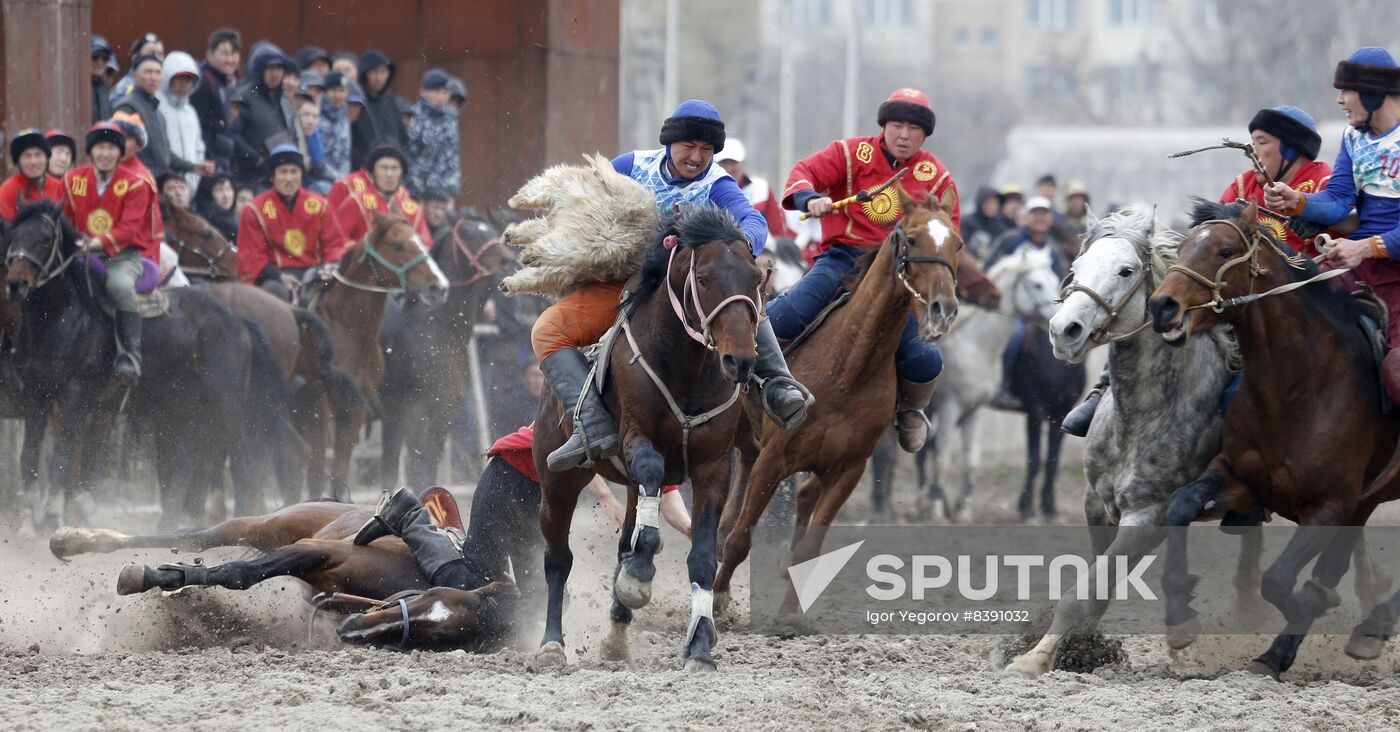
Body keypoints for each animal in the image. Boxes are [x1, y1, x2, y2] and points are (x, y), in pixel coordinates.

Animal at [2, 202, 287, 529]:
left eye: (46, 239)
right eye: (13, 235)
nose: (15, 284)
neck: (62, 317)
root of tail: (237, 321)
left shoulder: (74, 398)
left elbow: (62, 460)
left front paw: (52, 519)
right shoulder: (36, 395)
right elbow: (29, 459)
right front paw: (36, 518)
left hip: (225, 406)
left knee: (239, 462)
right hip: (182, 408)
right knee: (187, 461)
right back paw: (169, 524)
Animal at [380, 208, 512, 489]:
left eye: (493, 231)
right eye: (469, 234)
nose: (507, 260)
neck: (435, 328)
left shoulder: (443, 412)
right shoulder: (418, 413)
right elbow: (417, 467)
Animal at [529, 202, 767, 674]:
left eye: (755, 279)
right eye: (704, 278)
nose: (741, 361)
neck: (687, 369)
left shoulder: (714, 466)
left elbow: (702, 557)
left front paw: (700, 648)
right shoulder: (635, 441)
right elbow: (652, 477)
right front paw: (638, 578)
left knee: (625, 540)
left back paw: (616, 636)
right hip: (558, 481)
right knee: (558, 559)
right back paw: (552, 645)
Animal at [918, 246, 1058, 520]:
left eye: (1055, 281)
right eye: (1036, 284)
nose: (1058, 317)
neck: (975, 345)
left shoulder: (974, 410)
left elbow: (971, 461)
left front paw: (961, 509)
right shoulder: (950, 408)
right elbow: (942, 460)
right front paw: (939, 509)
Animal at [1148, 197, 1400, 680]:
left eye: (1225, 251)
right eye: (1184, 246)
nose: (1162, 306)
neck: (1301, 388)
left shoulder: (1328, 507)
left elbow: (1279, 579)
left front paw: (1289, 632)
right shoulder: (1242, 479)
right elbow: (1181, 504)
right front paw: (1180, 617)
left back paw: (1372, 624)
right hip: (1366, 499)